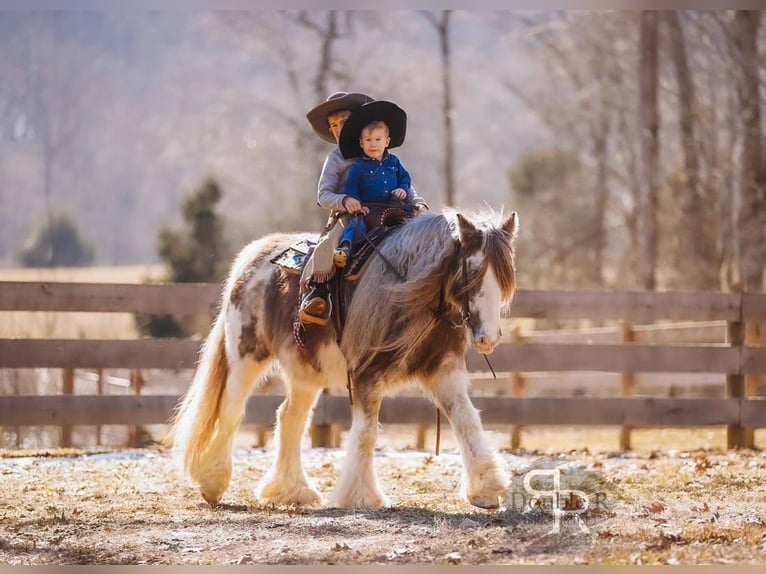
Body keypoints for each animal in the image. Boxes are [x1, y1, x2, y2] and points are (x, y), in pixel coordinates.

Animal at [168, 206, 520, 508]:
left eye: (504, 278)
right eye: (472, 272)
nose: (488, 338)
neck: (406, 291)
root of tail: (252, 258)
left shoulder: (443, 371)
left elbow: (467, 420)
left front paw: (486, 489)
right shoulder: (366, 374)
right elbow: (366, 432)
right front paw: (361, 496)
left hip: (305, 373)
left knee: (290, 417)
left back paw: (291, 490)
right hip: (246, 356)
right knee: (231, 409)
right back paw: (213, 481)